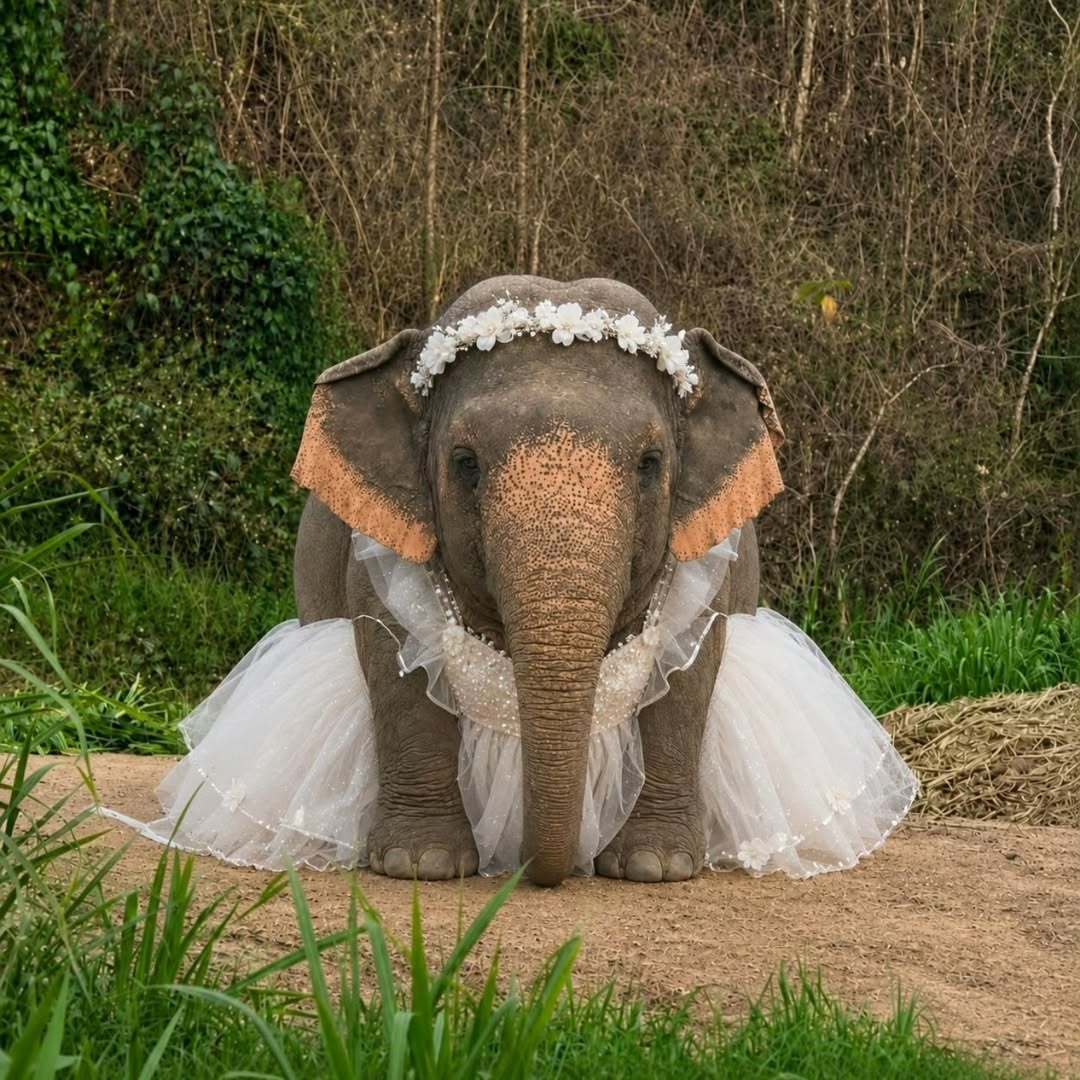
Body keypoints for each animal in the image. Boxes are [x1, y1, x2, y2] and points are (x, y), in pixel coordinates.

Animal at [290, 275, 784, 887]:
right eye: (465, 463)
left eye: (650, 464)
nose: (530, 867)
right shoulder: (378, 546)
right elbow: (395, 660)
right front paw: (420, 864)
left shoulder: (713, 550)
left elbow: (690, 669)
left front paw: (655, 866)